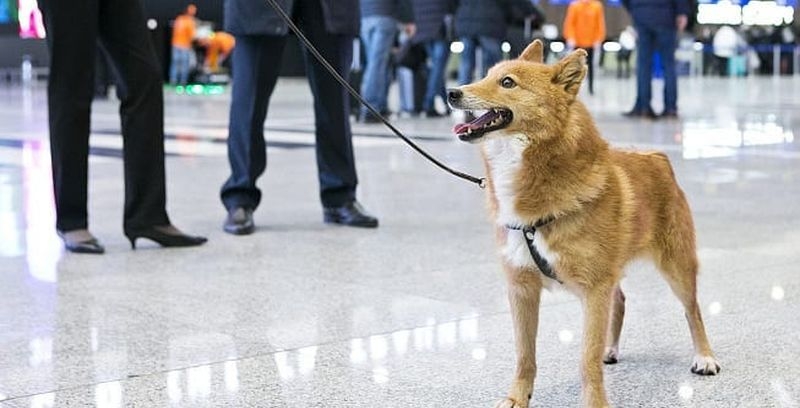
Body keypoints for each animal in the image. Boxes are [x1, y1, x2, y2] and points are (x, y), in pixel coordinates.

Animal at [450, 39, 720, 408]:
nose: (452, 92)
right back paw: (611, 348)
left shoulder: (594, 290)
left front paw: (594, 401)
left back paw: (704, 356)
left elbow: (585, 359)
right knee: (620, 302)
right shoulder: (522, 288)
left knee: (693, 310)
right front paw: (517, 398)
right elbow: (524, 354)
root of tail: (657, 157)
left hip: (676, 266)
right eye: (486, 75)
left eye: (507, 82)